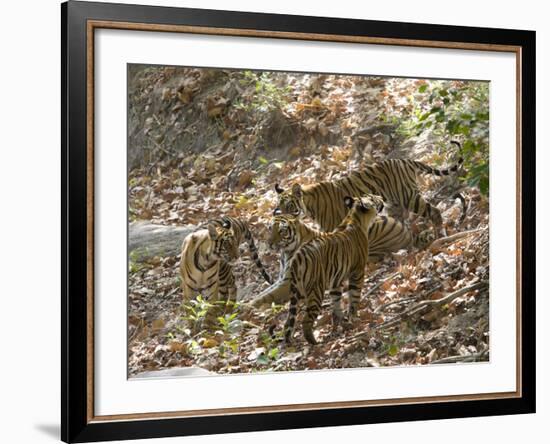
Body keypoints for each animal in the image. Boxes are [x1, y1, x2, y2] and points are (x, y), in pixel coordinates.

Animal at [253, 196, 384, 346]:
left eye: (281, 231)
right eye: (373, 198)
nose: (381, 198)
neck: (354, 218)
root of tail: (298, 257)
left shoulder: (335, 281)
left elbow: (336, 304)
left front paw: (342, 323)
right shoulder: (357, 272)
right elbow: (354, 297)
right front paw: (354, 319)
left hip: (297, 290)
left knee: (288, 322)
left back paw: (289, 341)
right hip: (315, 290)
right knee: (306, 320)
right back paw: (314, 342)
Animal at [278, 141, 464, 232]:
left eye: (289, 206)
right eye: (278, 209)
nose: (282, 219)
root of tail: (405, 160)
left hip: (408, 197)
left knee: (435, 211)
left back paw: (440, 233)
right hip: (394, 204)